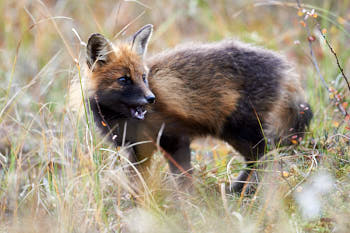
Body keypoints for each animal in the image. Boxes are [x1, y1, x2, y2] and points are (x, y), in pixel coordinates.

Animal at [72, 24, 314, 192]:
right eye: (124, 80)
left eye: (143, 77)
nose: (150, 98)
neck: (122, 119)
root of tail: (284, 66)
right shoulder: (137, 148)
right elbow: (137, 181)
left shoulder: (174, 138)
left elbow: (183, 177)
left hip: (238, 130)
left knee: (266, 155)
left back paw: (241, 191)